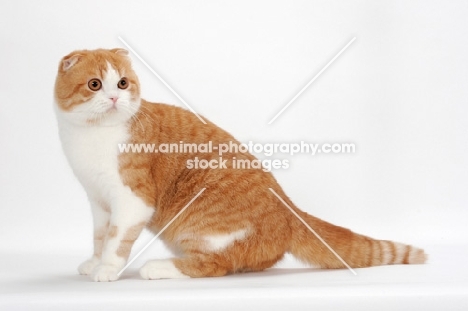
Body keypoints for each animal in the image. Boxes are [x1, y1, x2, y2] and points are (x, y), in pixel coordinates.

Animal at [54, 48, 428, 282]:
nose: (114, 98)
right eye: (95, 85)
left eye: (122, 83)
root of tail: (290, 208)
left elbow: (117, 240)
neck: (91, 135)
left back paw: (159, 267)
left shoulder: (132, 201)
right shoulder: (99, 201)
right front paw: (94, 262)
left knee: (214, 265)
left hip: (199, 229)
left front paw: (108, 269)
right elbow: (100, 236)